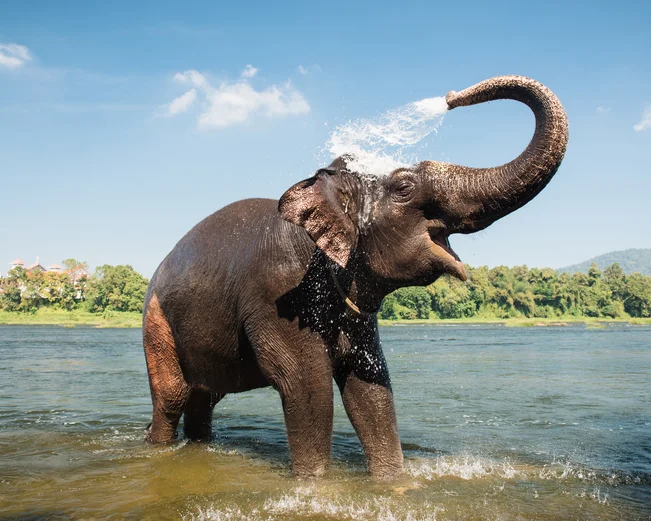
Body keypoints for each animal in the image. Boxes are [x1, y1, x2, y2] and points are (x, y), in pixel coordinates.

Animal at [143, 75, 568, 479]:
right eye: (404, 187)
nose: (450, 97)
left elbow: (369, 385)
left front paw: (393, 482)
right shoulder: (278, 294)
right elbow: (307, 387)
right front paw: (315, 484)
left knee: (204, 398)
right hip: (156, 323)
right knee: (172, 397)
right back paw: (158, 447)